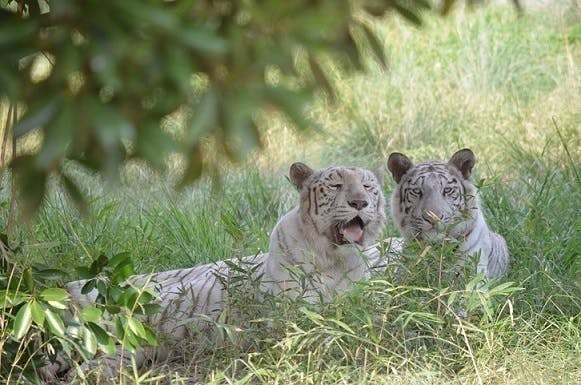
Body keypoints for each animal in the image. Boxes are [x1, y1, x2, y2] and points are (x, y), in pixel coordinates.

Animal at [39, 160, 386, 380]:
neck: (333, 259)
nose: (360, 203)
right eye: (337, 185)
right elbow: (320, 326)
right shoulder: (286, 316)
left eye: (368, 186)